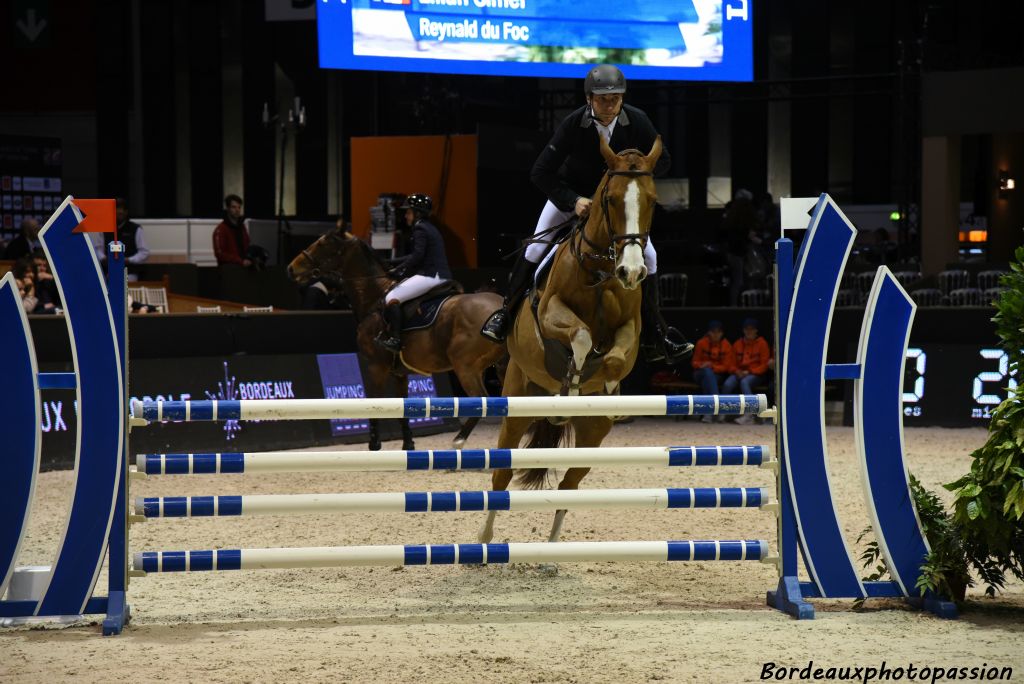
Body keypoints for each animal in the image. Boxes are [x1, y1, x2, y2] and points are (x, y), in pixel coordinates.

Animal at [286, 232, 505, 450]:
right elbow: (402, 411)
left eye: (321, 244)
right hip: (501, 366)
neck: (374, 297)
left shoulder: (376, 367)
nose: (291, 268)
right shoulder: (400, 373)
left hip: (465, 367)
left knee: (483, 400)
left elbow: (374, 403)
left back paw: (458, 440)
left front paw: (374, 444)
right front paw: (408, 445)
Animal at [479, 136, 663, 548]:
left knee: (569, 485)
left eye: (652, 200)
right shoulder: (551, 314)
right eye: (610, 199)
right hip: (517, 403)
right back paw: (482, 540)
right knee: (501, 476)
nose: (632, 272)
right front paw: (575, 379)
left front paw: (605, 387)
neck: (602, 271)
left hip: (593, 436)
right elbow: (580, 335)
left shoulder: (630, 330)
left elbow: (615, 358)